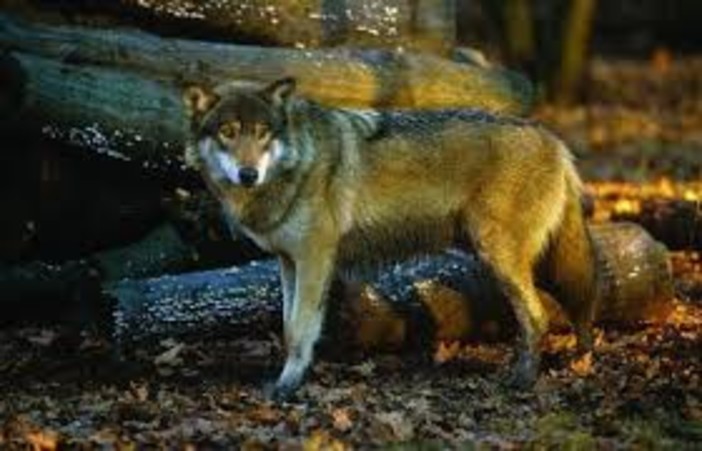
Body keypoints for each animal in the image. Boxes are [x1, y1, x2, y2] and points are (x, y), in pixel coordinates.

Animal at [182, 77, 599, 400]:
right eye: (228, 132)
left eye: (262, 133)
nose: (248, 174)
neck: (297, 162)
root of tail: (552, 139)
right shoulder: (289, 262)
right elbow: (288, 327)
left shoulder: (314, 258)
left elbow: (299, 329)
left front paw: (288, 388)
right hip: (530, 262)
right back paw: (576, 361)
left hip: (499, 256)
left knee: (539, 315)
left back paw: (522, 381)